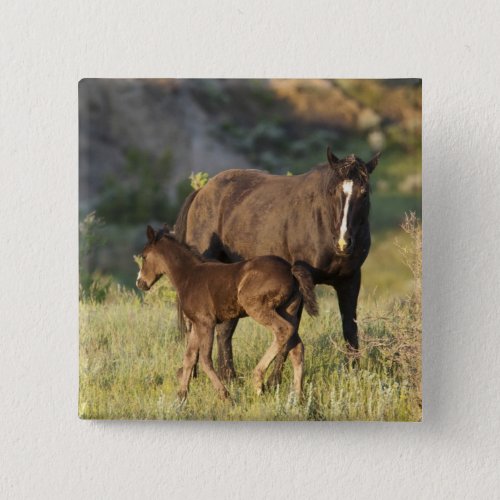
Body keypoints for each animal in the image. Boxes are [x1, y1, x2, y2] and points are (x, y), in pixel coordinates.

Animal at [136, 225, 316, 400]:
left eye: (144, 257)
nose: (140, 283)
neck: (189, 275)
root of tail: (290, 270)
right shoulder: (196, 324)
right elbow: (189, 357)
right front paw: (181, 396)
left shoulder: (206, 323)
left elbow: (205, 359)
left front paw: (225, 395)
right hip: (288, 310)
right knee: (297, 347)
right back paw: (298, 397)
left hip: (257, 307)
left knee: (282, 330)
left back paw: (258, 381)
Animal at [176, 146, 378, 380]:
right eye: (333, 192)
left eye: (364, 193)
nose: (343, 242)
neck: (323, 221)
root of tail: (202, 192)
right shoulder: (302, 284)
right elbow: (292, 330)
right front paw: (274, 380)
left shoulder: (350, 280)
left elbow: (350, 328)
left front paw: (353, 374)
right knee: (195, 325)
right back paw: (193, 374)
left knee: (224, 329)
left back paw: (229, 376)